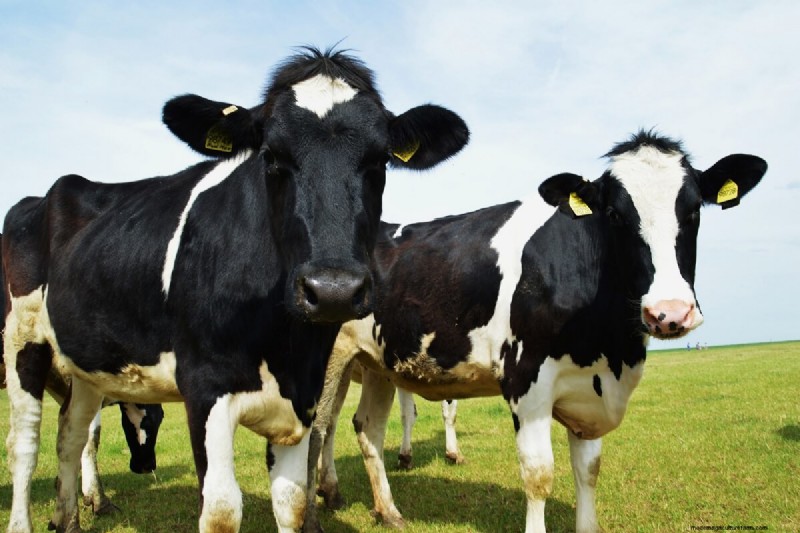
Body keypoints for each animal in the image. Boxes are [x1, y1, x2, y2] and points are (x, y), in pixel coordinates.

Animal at [303, 130, 766, 533]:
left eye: (694, 210)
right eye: (615, 215)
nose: (670, 312)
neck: (610, 348)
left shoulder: (589, 391)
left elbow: (589, 471)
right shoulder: (527, 381)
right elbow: (539, 475)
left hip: (377, 361)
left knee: (367, 429)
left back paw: (388, 511)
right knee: (316, 431)